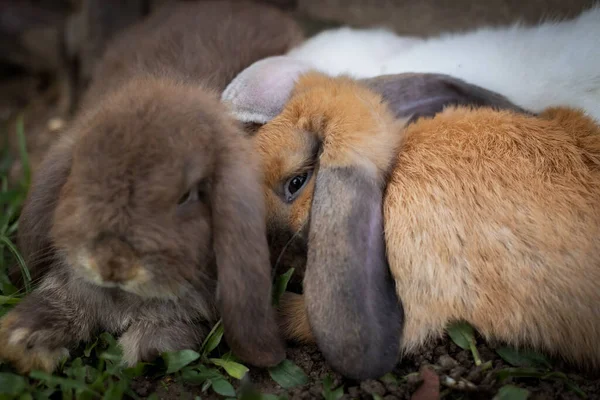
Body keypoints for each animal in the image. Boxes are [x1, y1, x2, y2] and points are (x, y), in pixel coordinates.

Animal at [0, 0, 302, 376]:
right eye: (81, 171)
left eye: (187, 196)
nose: (113, 264)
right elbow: (58, 301)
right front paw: (24, 340)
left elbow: (156, 340)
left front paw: (142, 354)